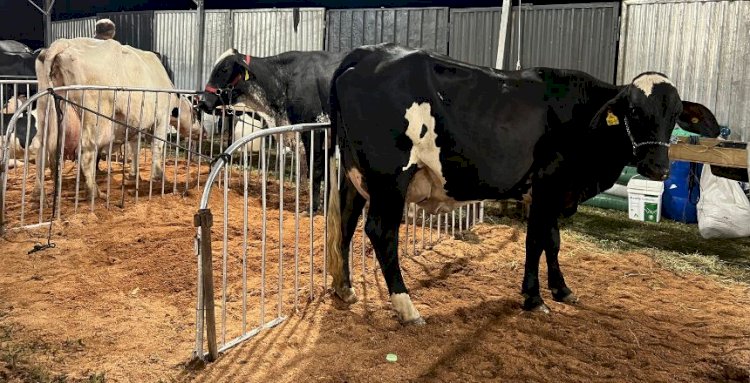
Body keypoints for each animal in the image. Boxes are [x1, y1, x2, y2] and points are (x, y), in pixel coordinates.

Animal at [326, 43, 720, 326]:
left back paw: (344, 290)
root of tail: (366, 52)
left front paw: (562, 289)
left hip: (353, 175)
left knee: (345, 222)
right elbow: (535, 241)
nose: (658, 167)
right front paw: (534, 298)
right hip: (390, 178)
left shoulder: (556, 192)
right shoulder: (547, 185)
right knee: (380, 232)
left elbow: (553, 241)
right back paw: (407, 309)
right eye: (634, 111)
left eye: (675, 114)